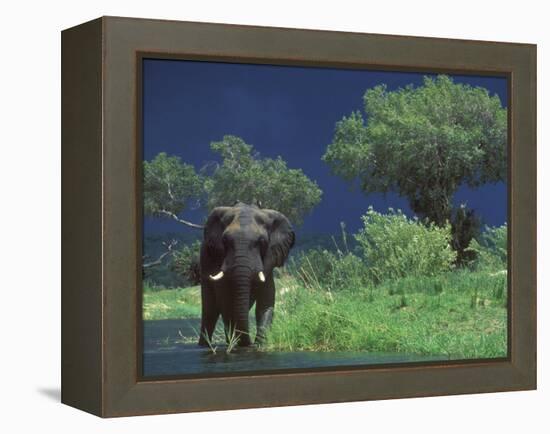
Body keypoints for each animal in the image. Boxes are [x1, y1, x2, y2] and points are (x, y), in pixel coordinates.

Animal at [197, 202, 294, 348]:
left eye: (262, 242)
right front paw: (239, 342)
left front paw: (260, 344)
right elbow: (226, 302)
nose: (249, 344)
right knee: (210, 311)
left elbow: (265, 303)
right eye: (225, 241)